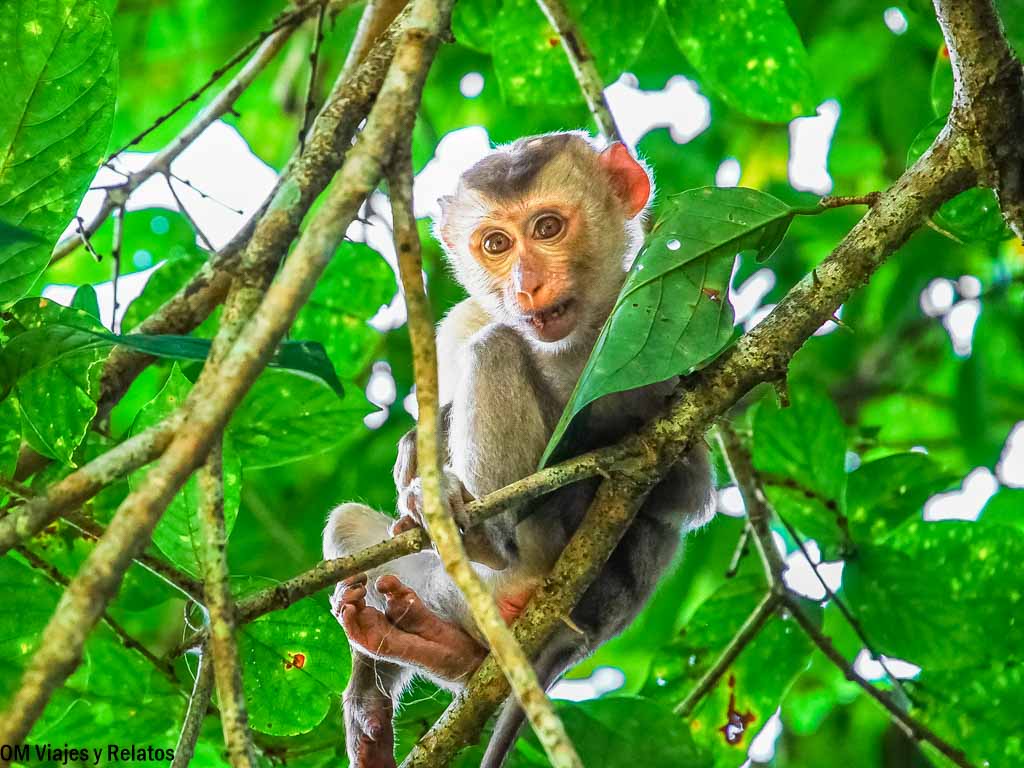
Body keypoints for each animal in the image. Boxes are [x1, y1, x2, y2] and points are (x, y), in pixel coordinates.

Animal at [323, 132, 714, 768]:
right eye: (496, 244)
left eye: (548, 227)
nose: (526, 284)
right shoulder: (461, 317)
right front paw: (415, 449)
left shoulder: (665, 330)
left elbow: (688, 490)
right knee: (353, 523)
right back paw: (427, 648)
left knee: (498, 348)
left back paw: (487, 542)